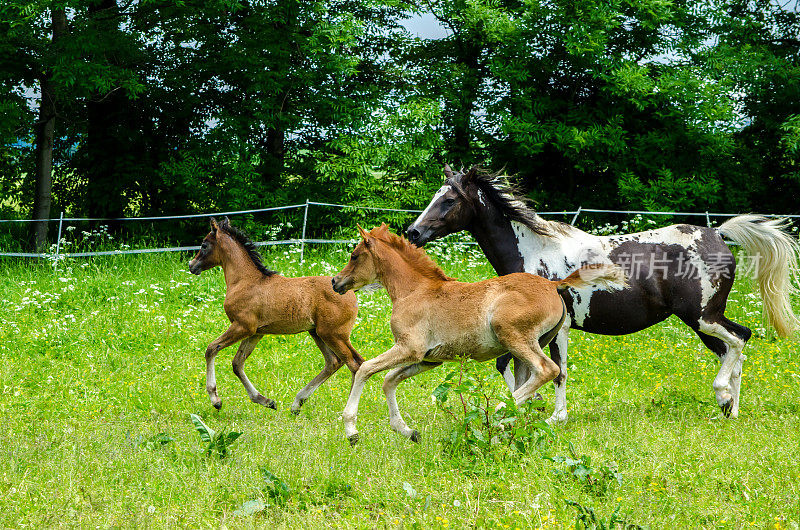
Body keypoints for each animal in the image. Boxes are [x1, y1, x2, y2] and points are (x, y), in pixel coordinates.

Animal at [188, 217, 362, 410]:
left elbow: (211, 349)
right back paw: (297, 403)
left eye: (204, 245)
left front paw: (216, 400)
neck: (245, 281)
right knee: (335, 362)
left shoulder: (243, 326)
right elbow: (237, 363)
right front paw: (265, 400)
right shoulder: (256, 332)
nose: (191, 265)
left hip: (333, 334)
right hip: (318, 333)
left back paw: (347, 410)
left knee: (354, 364)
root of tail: (350, 292)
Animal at [332, 221, 624, 444]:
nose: (336, 282)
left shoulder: (409, 348)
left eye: (354, 255)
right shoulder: (428, 359)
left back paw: (497, 413)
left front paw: (351, 430)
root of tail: (553, 285)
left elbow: (366, 369)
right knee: (536, 380)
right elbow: (389, 380)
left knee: (547, 370)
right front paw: (407, 430)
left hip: (514, 337)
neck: (414, 291)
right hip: (533, 344)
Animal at [406, 165, 800, 420]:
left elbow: (558, 371)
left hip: (702, 316)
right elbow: (513, 367)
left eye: (449, 200)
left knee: (740, 339)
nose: (413, 233)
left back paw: (724, 397)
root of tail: (717, 234)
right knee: (733, 350)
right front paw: (526, 407)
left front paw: (555, 416)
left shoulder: (558, 330)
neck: (535, 253)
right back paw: (729, 410)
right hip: (702, 321)